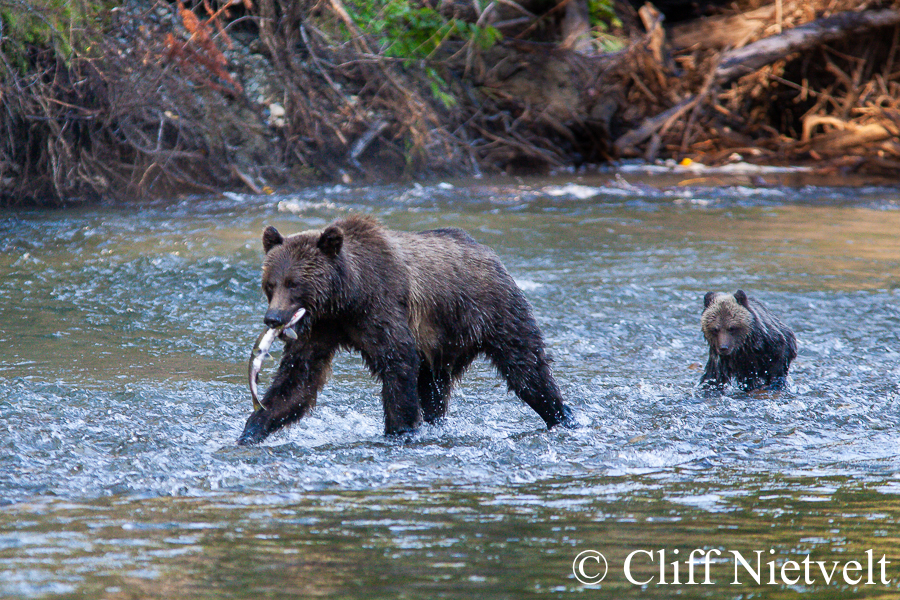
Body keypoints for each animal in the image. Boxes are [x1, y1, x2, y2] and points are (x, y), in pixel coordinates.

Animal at [237, 213, 576, 442]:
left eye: (294, 283)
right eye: (270, 284)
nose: (273, 318)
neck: (346, 298)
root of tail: (488, 252)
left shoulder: (381, 307)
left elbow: (397, 363)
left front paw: (399, 430)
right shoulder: (321, 329)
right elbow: (297, 381)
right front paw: (252, 428)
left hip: (492, 311)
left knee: (527, 368)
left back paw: (563, 415)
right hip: (441, 345)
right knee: (434, 391)